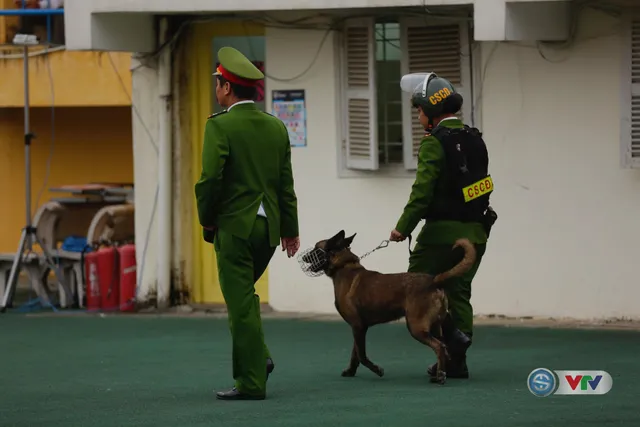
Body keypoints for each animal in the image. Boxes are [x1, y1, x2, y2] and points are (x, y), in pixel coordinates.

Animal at [300, 231, 476, 384]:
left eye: (316, 248)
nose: (303, 256)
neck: (344, 266)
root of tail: (434, 280)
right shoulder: (358, 328)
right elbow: (355, 353)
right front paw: (350, 371)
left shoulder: (358, 326)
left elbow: (362, 355)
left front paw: (377, 369)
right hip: (435, 327)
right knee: (445, 347)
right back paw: (443, 372)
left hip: (416, 327)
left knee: (439, 347)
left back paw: (440, 377)